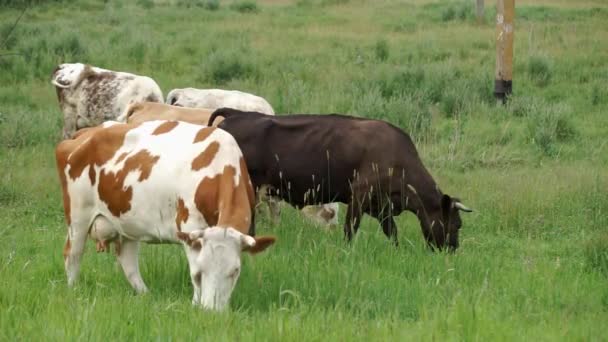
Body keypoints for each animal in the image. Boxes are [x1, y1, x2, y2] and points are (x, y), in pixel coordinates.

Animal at [56, 119, 276, 310]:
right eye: (201, 272)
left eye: (235, 272)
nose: (211, 311)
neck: (219, 166)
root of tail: (87, 132)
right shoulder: (190, 228)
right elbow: (192, 269)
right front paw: (196, 304)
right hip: (78, 217)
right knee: (73, 254)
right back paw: (73, 291)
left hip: (127, 222)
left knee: (128, 261)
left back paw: (146, 295)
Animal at [209, 109, 476, 251]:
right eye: (456, 223)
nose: (452, 250)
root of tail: (237, 114)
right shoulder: (358, 196)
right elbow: (350, 228)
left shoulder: (381, 206)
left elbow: (392, 231)